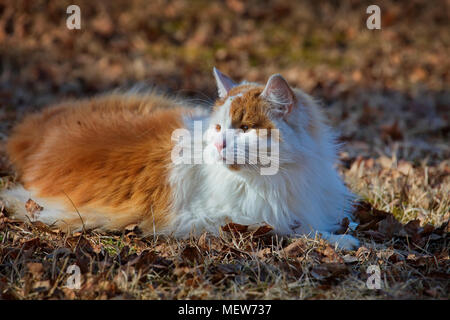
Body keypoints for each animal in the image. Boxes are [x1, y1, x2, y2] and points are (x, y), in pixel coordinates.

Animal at [0, 68, 358, 250]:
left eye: (244, 129)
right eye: (219, 127)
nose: (219, 145)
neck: (282, 175)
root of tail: (36, 128)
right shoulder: (212, 219)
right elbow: (290, 228)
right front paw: (340, 241)